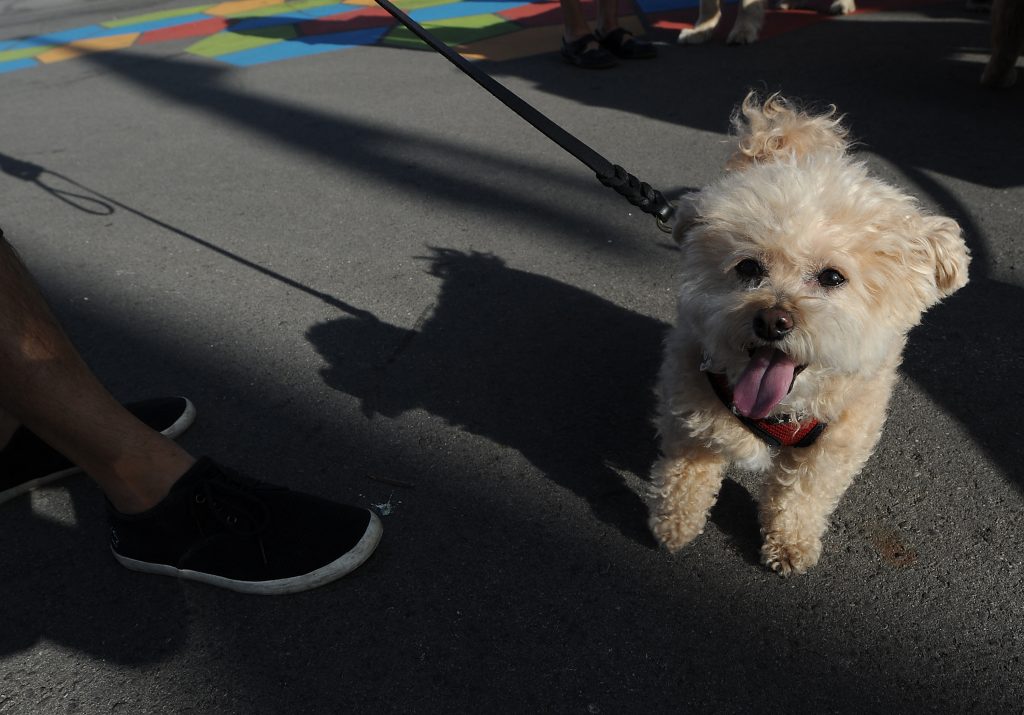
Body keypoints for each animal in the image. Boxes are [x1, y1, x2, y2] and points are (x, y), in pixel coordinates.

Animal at [651, 93, 970, 573]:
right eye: (748, 267)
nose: (772, 320)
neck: (781, 411)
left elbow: (802, 496)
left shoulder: (835, 445)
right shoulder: (690, 407)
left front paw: (789, 543)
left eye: (832, 277)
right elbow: (687, 472)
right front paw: (675, 525)